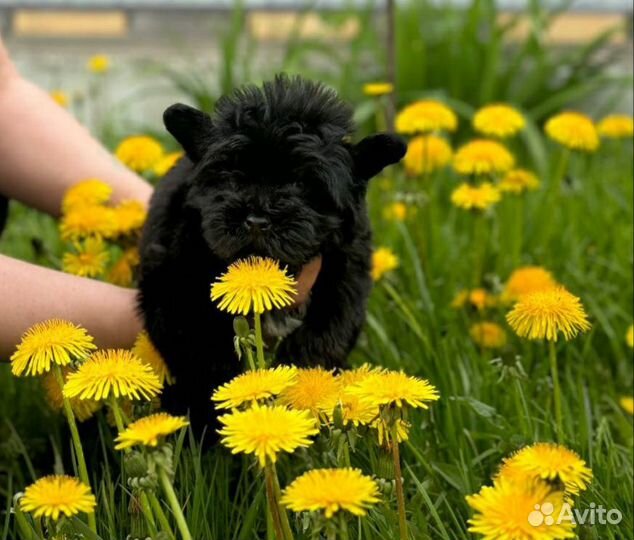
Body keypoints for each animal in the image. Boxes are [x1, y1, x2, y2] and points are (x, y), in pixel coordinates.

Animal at [138, 75, 404, 434]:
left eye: (302, 183)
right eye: (231, 176)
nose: (256, 219)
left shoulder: (342, 287)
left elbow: (316, 349)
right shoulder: (173, 292)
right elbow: (207, 363)